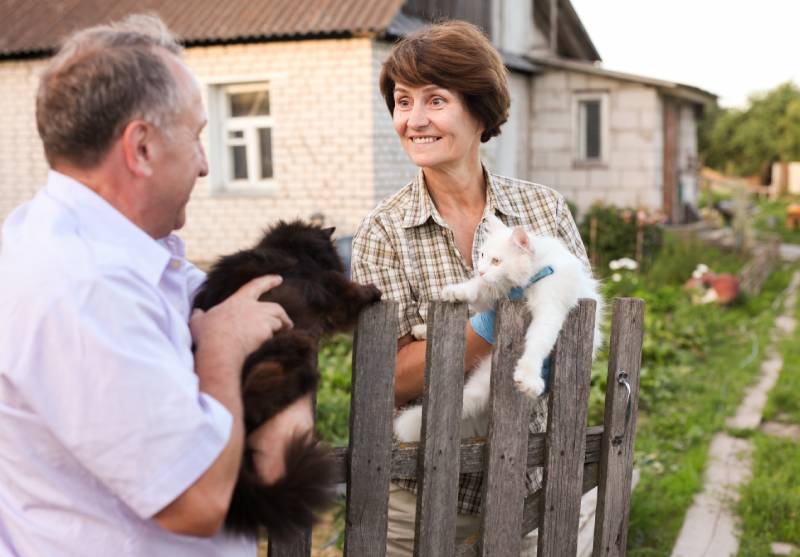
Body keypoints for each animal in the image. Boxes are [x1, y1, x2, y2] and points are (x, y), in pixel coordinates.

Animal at [192, 220, 382, 540]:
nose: (339, 264)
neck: (293, 253)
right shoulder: (330, 290)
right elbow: (350, 294)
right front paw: (372, 291)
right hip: (291, 343)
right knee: (255, 406)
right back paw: (305, 379)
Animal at [390, 213, 604, 444]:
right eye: (482, 255)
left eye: (496, 261)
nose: (481, 270)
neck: (532, 273)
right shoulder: (492, 295)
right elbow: (476, 288)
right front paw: (458, 291)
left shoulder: (550, 309)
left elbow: (537, 344)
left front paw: (528, 375)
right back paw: (423, 330)